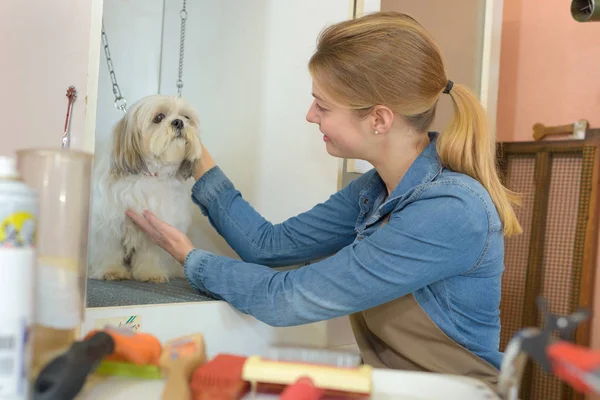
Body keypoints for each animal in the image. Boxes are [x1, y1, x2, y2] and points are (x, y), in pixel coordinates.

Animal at [88, 95, 202, 282]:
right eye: (159, 117)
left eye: (186, 117)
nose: (179, 122)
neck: (150, 175)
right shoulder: (108, 222)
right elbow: (109, 249)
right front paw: (111, 270)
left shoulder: (156, 226)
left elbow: (150, 253)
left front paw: (150, 273)